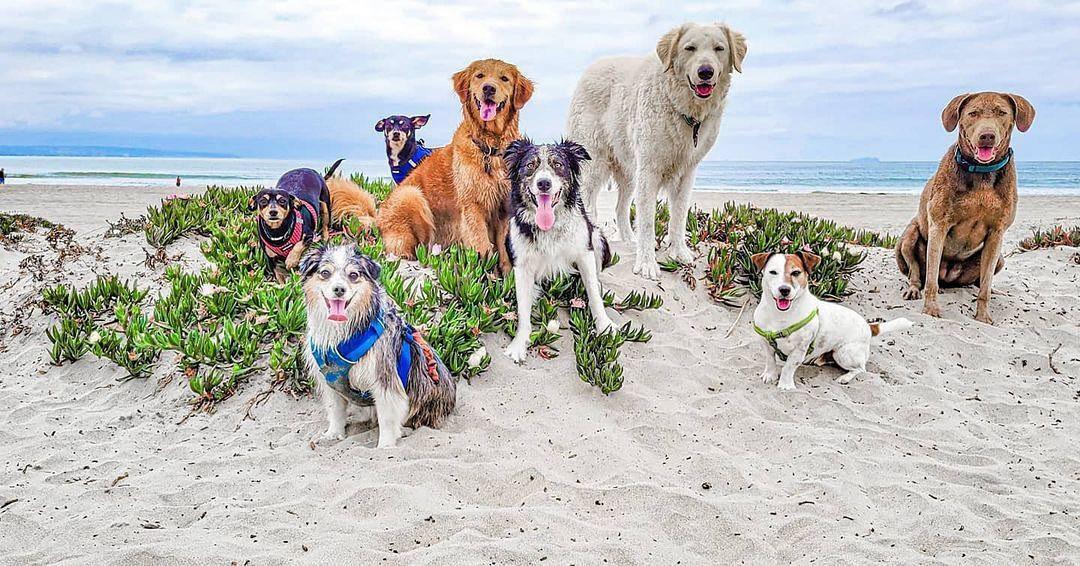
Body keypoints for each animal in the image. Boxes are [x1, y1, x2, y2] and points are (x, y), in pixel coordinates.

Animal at [570, 23, 747, 278]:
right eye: (690, 48)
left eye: (719, 48)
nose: (706, 71)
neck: (684, 109)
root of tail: (591, 68)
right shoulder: (649, 170)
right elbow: (647, 221)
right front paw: (646, 263)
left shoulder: (686, 172)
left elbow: (679, 215)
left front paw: (679, 252)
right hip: (594, 163)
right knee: (588, 201)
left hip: (628, 170)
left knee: (620, 208)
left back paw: (628, 240)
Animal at [751, 250, 911, 388]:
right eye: (773, 272)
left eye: (795, 273)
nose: (784, 290)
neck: (781, 315)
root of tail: (868, 326)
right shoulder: (766, 343)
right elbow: (770, 361)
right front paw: (770, 375)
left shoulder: (799, 350)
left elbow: (788, 368)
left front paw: (785, 385)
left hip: (844, 354)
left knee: (860, 369)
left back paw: (845, 377)